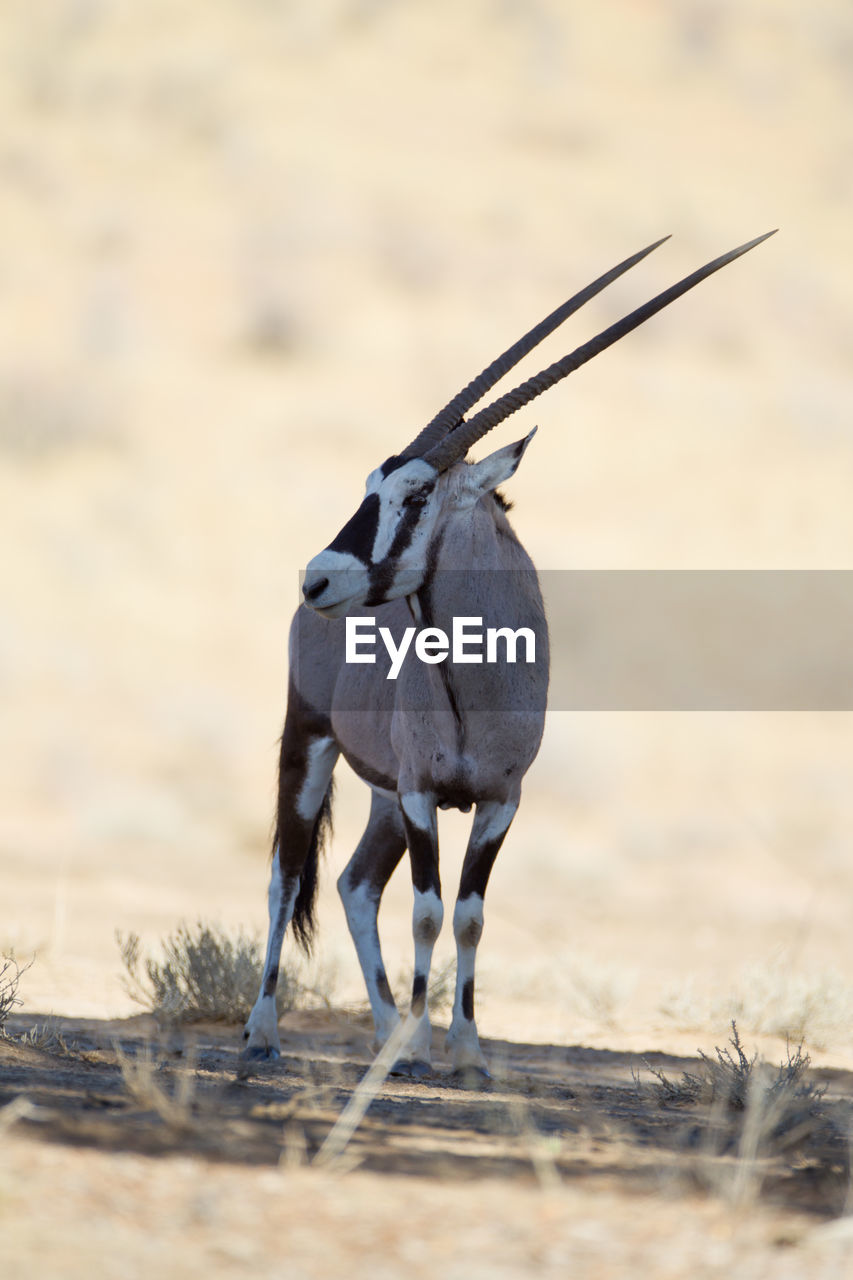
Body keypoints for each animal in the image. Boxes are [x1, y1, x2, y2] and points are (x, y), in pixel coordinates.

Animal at [240, 232, 768, 1080]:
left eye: (418, 495)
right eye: (372, 484)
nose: (318, 576)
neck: (477, 676)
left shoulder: (498, 800)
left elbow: (468, 916)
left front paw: (465, 1049)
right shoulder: (423, 792)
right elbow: (427, 912)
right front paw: (426, 1046)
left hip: (382, 796)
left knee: (354, 884)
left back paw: (385, 1030)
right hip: (311, 744)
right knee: (286, 879)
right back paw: (265, 1032)